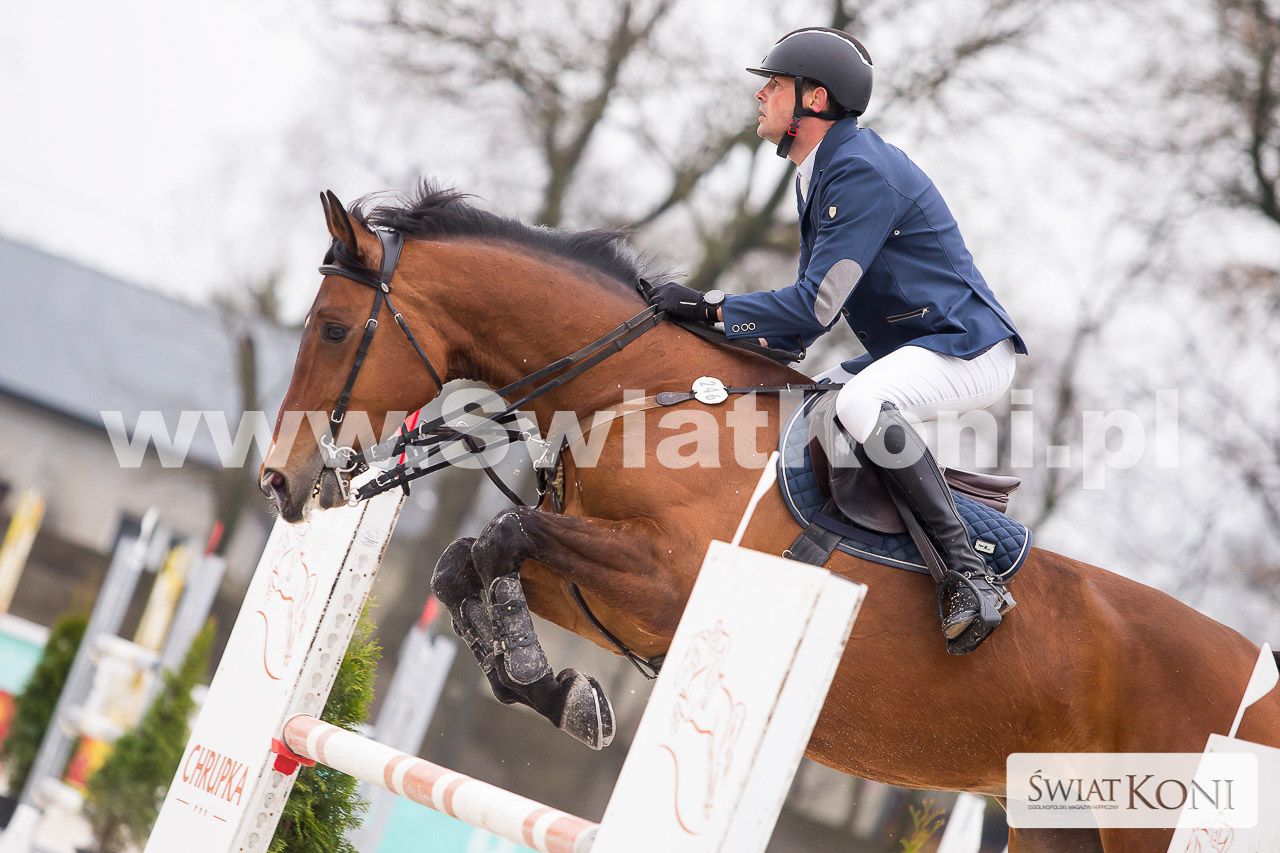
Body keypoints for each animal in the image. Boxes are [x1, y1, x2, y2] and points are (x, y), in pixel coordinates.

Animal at [259, 184, 1280, 853]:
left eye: (335, 329)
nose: (279, 482)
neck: (635, 398)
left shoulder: (668, 582)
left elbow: (502, 537)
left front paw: (552, 687)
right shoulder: (596, 590)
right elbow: (463, 561)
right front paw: (554, 688)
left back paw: (972, 601)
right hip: (1059, 822)